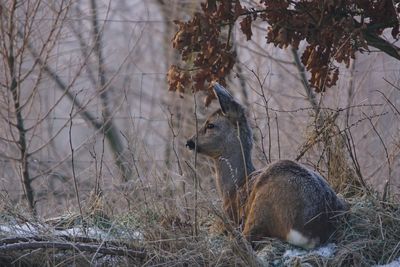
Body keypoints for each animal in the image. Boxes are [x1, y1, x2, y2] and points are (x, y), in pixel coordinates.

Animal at [187, 83, 346, 249]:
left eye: (210, 124)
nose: (189, 141)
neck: (233, 188)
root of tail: (311, 231)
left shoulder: (229, 216)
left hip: (262, 207)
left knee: (246, 239)